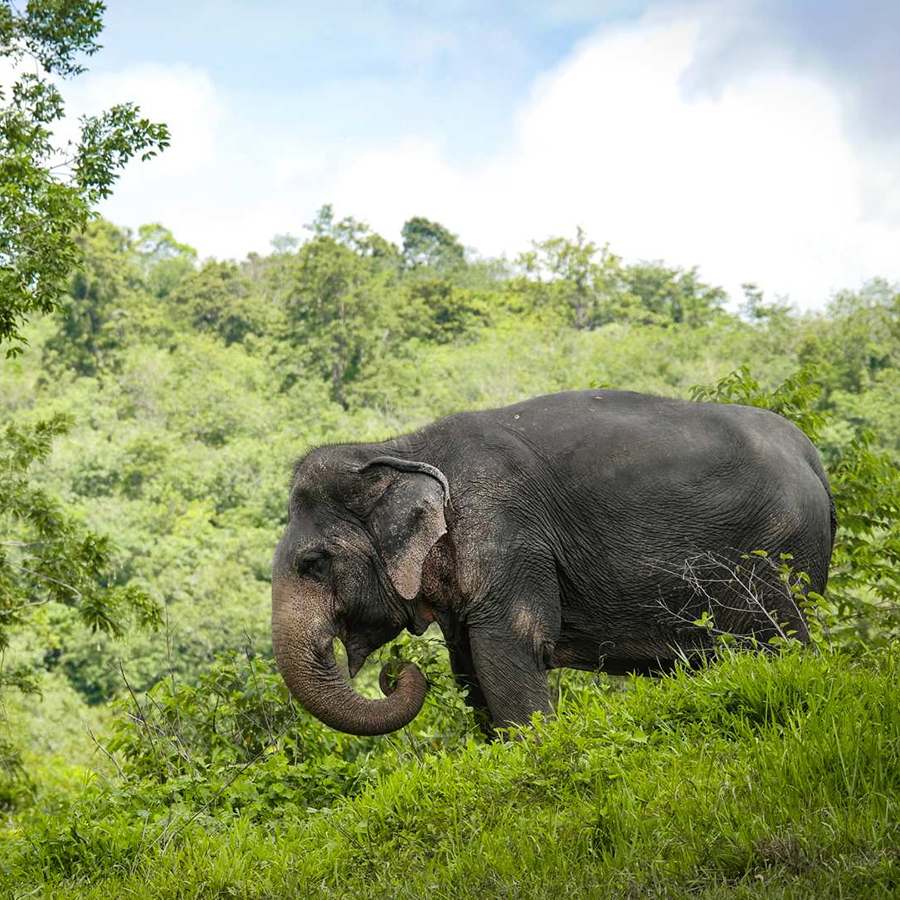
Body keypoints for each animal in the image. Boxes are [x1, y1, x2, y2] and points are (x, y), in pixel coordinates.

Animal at [271, 389, 836, 737]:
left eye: (314, 563)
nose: (394, 673)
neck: (399, 447)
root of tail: (813, 457)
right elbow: (468, 665)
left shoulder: (508, 533)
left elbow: (508, 648)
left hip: (776, 552)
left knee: (778, 641)